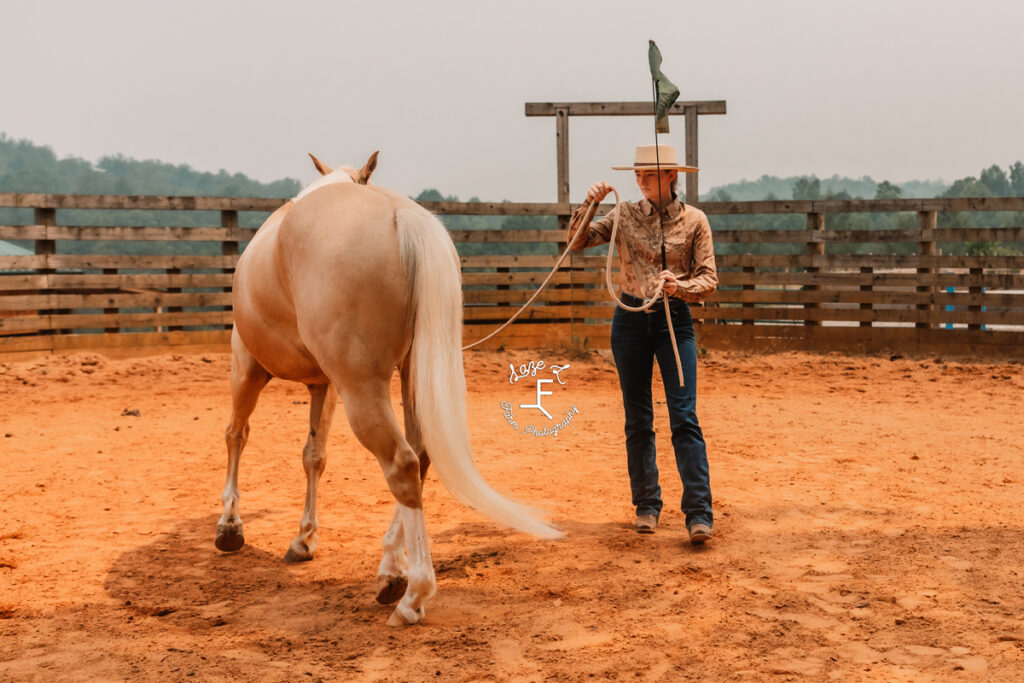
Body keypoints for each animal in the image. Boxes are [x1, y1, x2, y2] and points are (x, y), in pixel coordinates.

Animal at [214, 153, 561, 626]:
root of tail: (401, 215)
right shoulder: (324, 385)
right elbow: (313, 456)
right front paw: (304, 539)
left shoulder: (246, 366)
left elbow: (237, 436)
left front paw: (230, 526)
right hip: (406, 376)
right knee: (422, 456)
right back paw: (391, 572)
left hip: (360, 387)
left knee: (401, 463)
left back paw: (412, 595)